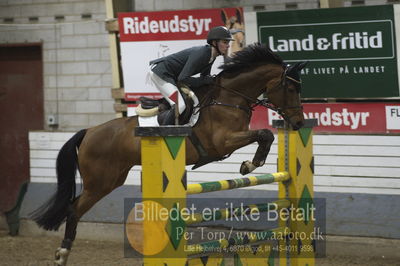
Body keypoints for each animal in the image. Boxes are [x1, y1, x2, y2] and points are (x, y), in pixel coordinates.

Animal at [31, 42, 306, 264]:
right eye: (292, 90)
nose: (299, 124)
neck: (229, 97)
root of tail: (89, 131)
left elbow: (266, 135)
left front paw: (250, 163)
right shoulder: (223, 142)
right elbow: (264, 134)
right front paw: (250, 164)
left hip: (113, 178)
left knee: (75, 207)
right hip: (100, 182)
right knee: (73, 209)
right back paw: (62, 254)